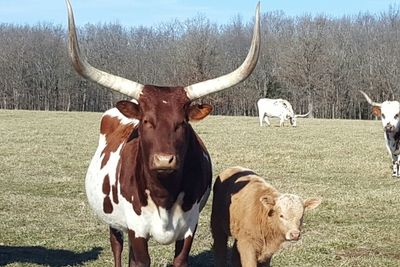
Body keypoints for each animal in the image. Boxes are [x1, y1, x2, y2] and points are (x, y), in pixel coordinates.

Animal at [64, 0, 260, 267]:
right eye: (146, 121)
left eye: (182, 123)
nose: (164, 160)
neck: (163, 194)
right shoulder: (136, 229)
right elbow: (139, 260)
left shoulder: (189, 228)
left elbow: (177, 260)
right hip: (113, 222)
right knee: (117, 247)